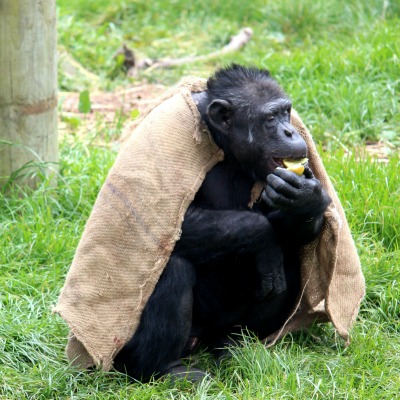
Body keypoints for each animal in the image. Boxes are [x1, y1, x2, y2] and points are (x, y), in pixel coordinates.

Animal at [113, 65, 332, 382]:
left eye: (286, 112)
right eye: (270, 118)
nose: (290, 131)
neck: (225, 146)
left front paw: (306, 198)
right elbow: (166, 225)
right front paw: (264, 237)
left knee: (290, 259)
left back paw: (234, 344)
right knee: (172, 266)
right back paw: (165, 369)